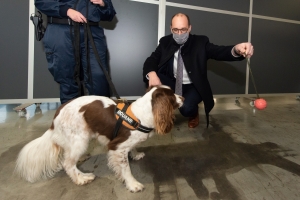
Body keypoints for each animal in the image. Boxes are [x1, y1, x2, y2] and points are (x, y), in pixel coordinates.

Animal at [15, 85, 184, 192]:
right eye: (172, 95)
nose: (183, 97)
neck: (140, 116)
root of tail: (56, 116)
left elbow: (133, 148)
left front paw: (136, 154)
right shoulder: (117, 147)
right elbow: (126, 169)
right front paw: (133, 185)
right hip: (80, 140)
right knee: (68, 164)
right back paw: (82, 178)